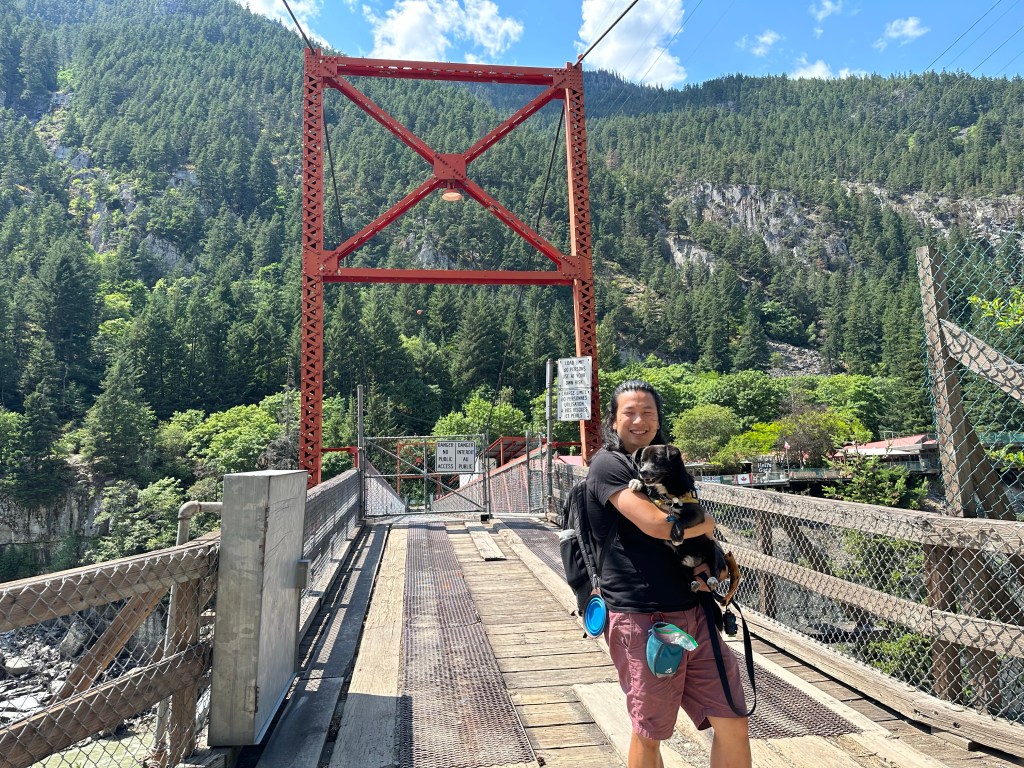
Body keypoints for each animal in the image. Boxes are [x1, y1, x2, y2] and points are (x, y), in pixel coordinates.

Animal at [628, 444, 741, 604]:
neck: (667, 492)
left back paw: (712, 579)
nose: (642, 472)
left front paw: (676, 535)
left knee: (714, 569)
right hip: (676, 560)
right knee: (688, 575)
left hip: (710, 546)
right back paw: (693, 583)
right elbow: (648, 490)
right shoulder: (654, 497)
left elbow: (681, 520)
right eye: (642, 461)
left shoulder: (698, 513)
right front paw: (637, 482)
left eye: (658, 459)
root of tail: (694, 562)